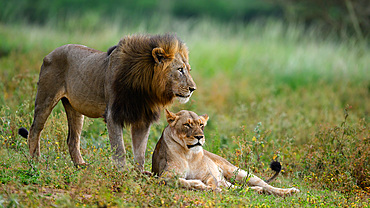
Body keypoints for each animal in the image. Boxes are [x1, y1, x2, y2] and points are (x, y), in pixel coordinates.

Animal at [19, 33, 197, 171]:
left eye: (188, 70)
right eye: (180, 70)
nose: (192, 88)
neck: (145, 89)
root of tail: (50, 53)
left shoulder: (143, 119)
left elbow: (140, 152)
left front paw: (139, 174)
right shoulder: (113, 115)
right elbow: (120, 149)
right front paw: (122, 173)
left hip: (74, 109)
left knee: (72, 139)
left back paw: (81, 165)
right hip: (46, 98)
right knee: (35, 130)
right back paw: (36, 161)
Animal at [153, 109, 300, 196]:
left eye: (201, 125)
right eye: (187, 125)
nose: (200, 137)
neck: (189, 154)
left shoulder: (209, 174)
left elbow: (212, 183)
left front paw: (211, 188)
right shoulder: (163, 176)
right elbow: (181, 181)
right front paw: (202, 186)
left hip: (239, 172)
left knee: (265, 185)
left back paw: (290, 191)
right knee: (235, 188)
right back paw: (256, 190)